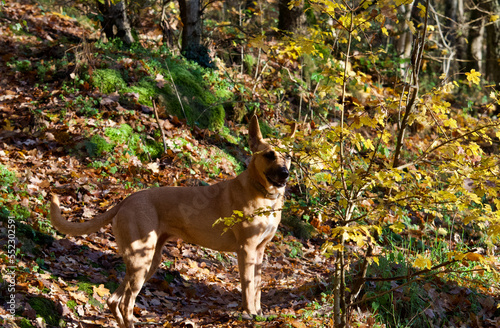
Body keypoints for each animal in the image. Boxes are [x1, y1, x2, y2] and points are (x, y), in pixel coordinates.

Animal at [49, 116, 294, 328]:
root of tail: (126, 200)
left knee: (114, 300)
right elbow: (248, 287)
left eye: (288, 156)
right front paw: (250, 314)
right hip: (142, 260)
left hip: (149, 261)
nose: (285, 173)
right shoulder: (247, 249)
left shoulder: (260, 250)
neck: (263, 193)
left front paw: (259, 313)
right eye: (269, 155)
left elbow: (258, 287)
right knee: (127, 302)